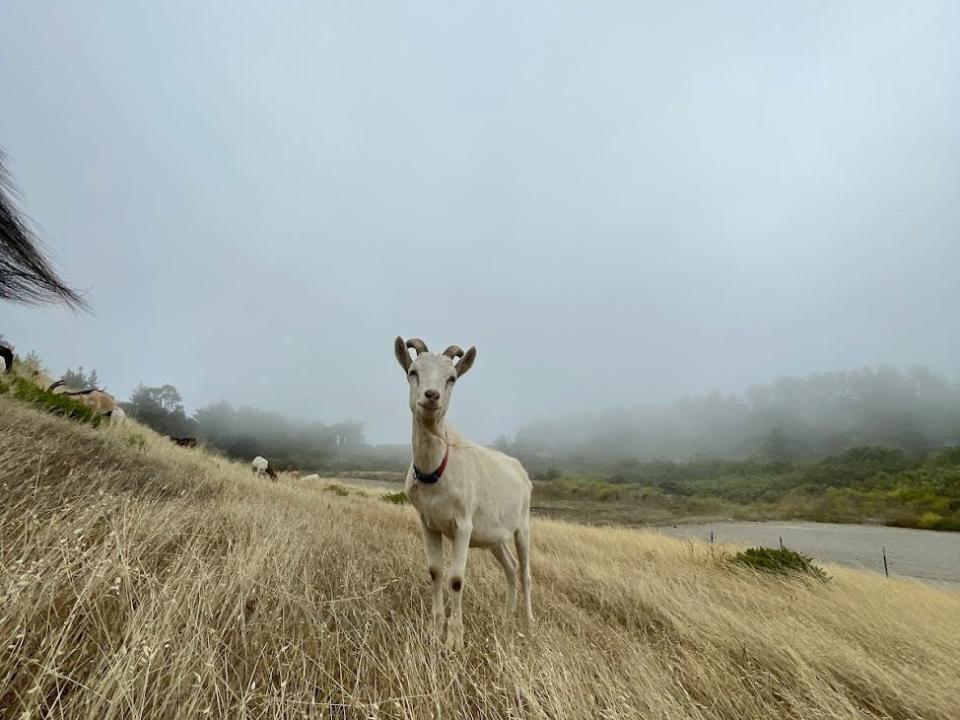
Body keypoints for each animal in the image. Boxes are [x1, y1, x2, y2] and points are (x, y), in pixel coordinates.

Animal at [394, 334, 536, 648]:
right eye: (413, 372)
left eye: (452, 378)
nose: (431, 396)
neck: (437, 470)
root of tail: (521, 470)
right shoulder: (428, 522)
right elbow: (436, 572)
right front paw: (434, 632)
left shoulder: (463, 523)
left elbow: (456, 578)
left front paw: (455, 640)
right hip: (494, 536)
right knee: (510, 567)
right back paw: (506, 621)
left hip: (522, 524)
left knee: (524, 572)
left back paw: (528, 624)